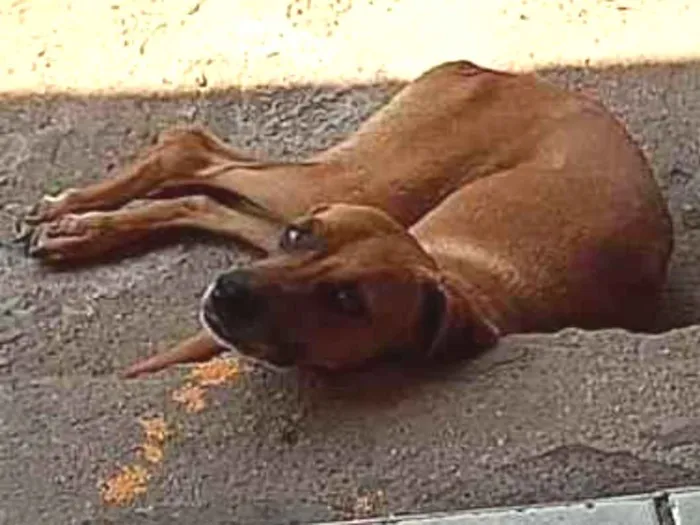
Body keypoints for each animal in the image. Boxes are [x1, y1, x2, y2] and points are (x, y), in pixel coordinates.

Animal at [24, 60, 676, 372]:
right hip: (356, 184)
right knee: (192, 151)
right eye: (300, 238)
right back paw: (73, 216)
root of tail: (490, 71)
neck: (465, 281)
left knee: (200, 181)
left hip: (350, 190)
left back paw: (78, 229)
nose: (227, 292)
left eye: (347, 303)